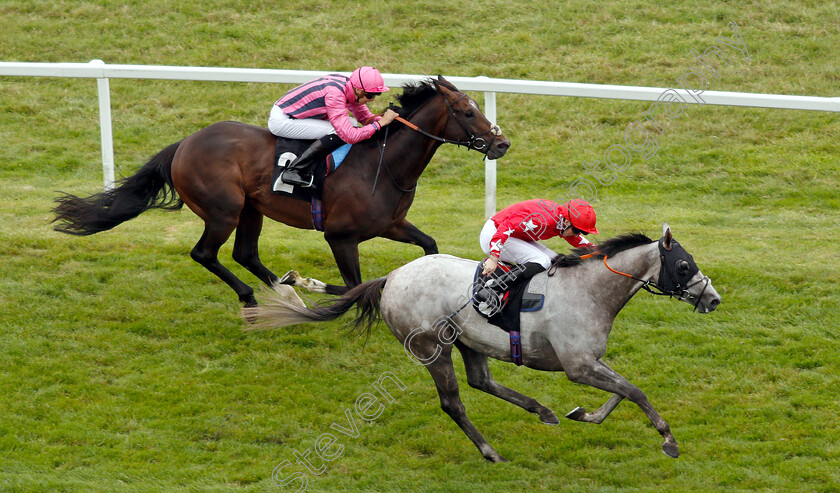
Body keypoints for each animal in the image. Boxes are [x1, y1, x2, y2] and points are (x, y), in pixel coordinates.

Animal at [55, 76, 512, 304]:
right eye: (467, 112)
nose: (502, 144)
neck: (383, 165)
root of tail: (183, 144)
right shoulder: (340, 236)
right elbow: (355, 285)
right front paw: (310, 283)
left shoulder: (391, 224)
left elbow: (430, 245)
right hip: (223, 209)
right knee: (205, 254)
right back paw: (252, 294)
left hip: (250, 209)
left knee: (244, 253)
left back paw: (281, 288)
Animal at [243, 224, 720, 462]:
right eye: (682, 265)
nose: (713, 298)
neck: (590, 290)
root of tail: (391, 277)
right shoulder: (578, 366)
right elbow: (635, 391)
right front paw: (668, 440)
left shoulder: (589, 362)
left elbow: (621, 392)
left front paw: (582, 413)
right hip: (431, 349)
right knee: (454, 401)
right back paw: (490, 451)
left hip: (467, 340)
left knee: (481, 382)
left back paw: (543, 411)